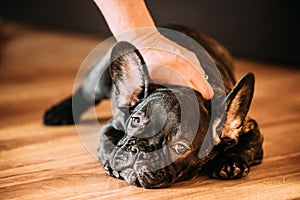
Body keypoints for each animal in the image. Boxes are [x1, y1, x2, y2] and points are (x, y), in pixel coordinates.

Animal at [44, 25, 262, 189]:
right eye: (135, 120)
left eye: (180, 147)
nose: (137, 150)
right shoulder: (110, 128)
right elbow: (109, 144)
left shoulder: (251, 128)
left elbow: (248, 145)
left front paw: (231, 162)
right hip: (100, 80)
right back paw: (57, 113)